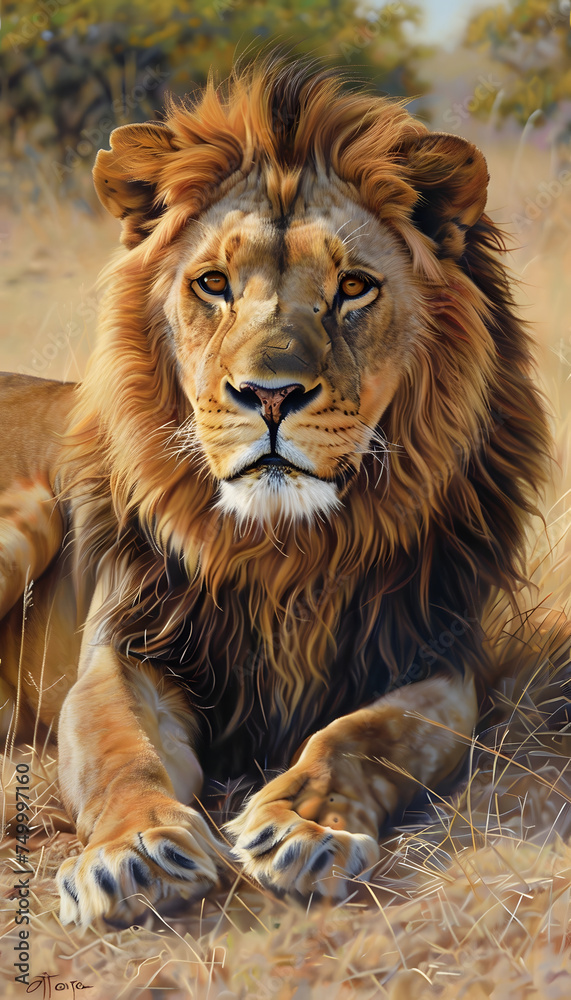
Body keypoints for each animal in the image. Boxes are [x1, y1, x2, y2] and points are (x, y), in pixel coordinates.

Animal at [0, 60, 551, 926]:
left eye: (353, 287)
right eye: (212, 284)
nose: (268, 394)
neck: (283, 550)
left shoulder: (434, 654)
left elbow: (357, 737)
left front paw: (303, 829)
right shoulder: (128, 647)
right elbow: (121, 750)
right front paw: (134, 854)